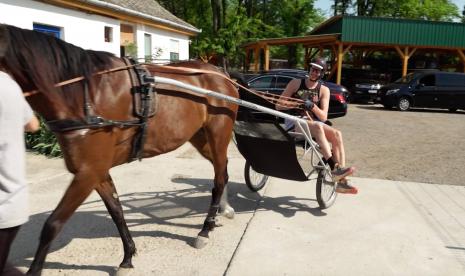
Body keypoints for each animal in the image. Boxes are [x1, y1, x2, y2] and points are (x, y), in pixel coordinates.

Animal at [0, 24, 237, 274]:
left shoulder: (88, 173)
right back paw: (222, 211)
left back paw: (205, 229)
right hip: (201, 138)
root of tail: (222, 75)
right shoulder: (97, 172)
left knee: (219, 178)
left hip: (218, 135)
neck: (85, 96)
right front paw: (128, 256)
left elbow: (52, 225)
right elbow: (117, 212)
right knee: (223, 172)